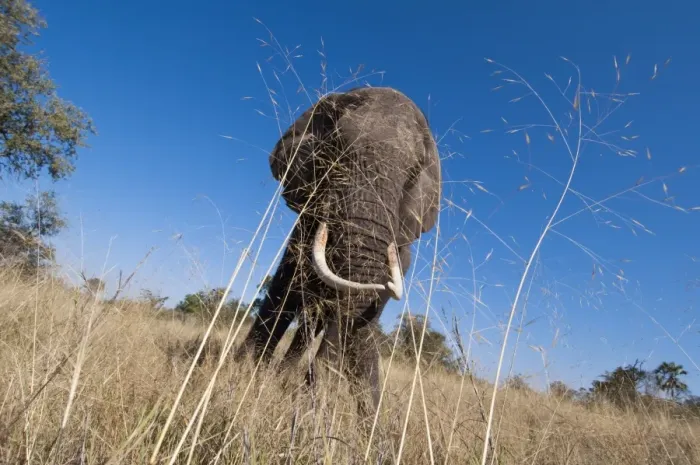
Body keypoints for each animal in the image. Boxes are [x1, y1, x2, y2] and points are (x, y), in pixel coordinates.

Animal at [236, 86, 441, 418]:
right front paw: (241, 373)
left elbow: (345, 313)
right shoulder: (307, 221)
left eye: (413, 174)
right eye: (337, 148)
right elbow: (286, 285)